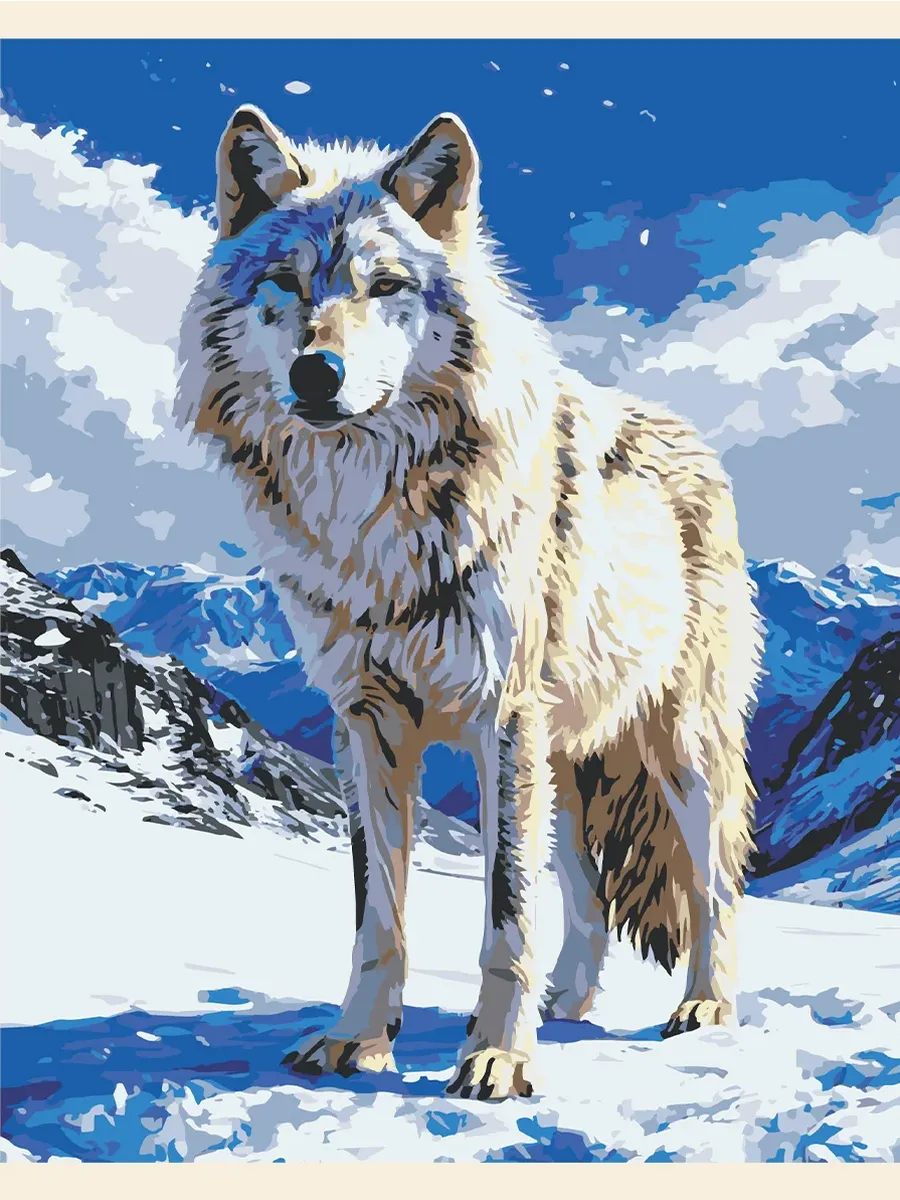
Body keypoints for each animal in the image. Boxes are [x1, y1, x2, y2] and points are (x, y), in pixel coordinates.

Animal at [176, 105, 763, 1100]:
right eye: (286, 285)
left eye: (384, 286)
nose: (316, 374)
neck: (371, 523)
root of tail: (694, 442)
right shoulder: (365, 722)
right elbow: (379, 914)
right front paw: (357, 1041)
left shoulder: (501, 715)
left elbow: (505, 911)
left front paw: (497, 1057)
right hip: (568, 759)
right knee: (587, 892)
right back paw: (569, 1007)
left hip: (673, 746)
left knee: (713, 882)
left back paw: (704, 1008)